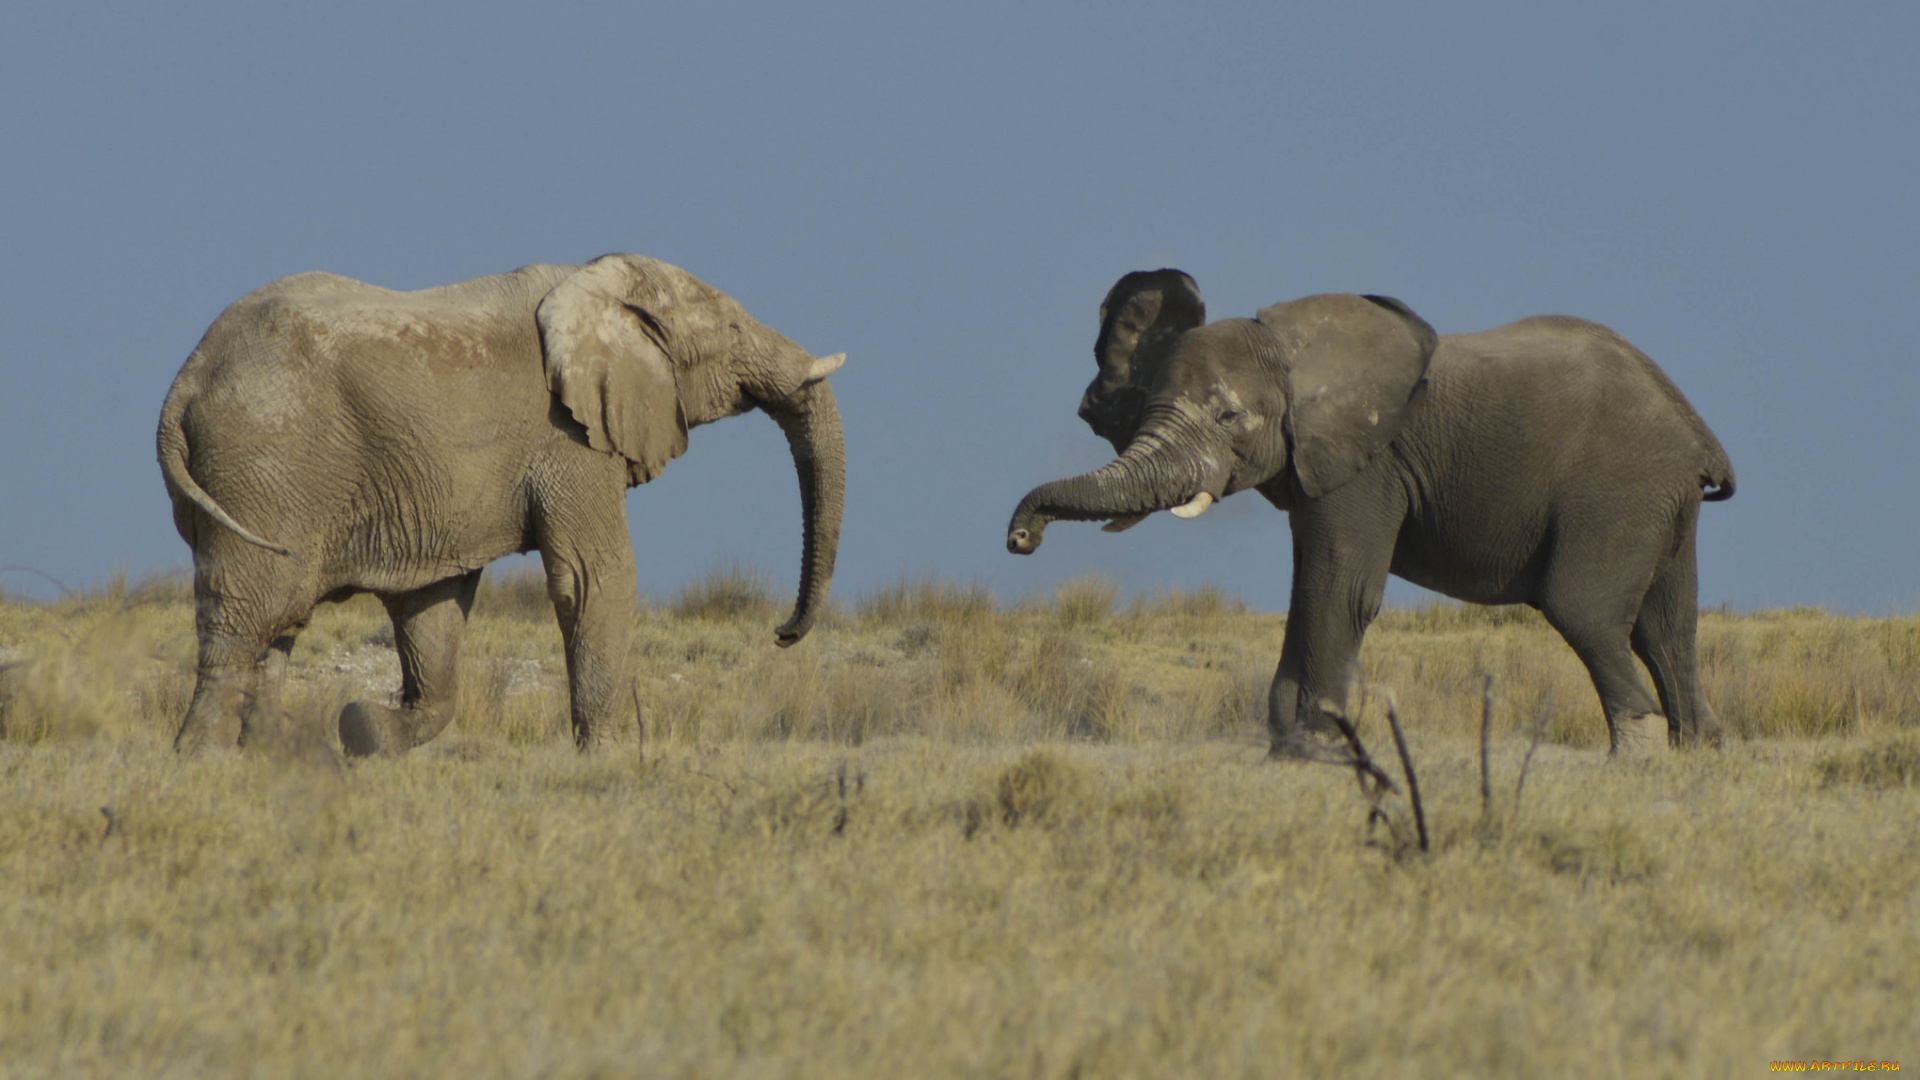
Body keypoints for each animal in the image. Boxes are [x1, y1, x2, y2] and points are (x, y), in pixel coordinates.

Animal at [161, 255, 852, 753]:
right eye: (733, 330)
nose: (782, 634)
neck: (599, 283)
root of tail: (186, 380)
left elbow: (433, 610)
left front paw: (362, 730)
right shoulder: (569, 439)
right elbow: (594, 578)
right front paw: (606, 757)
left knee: (278, 627)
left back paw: (270, 756)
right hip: (263, 466)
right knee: (247, 617)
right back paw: (203, 760)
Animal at [1013, 269, 1735, 757]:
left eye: (1228, 417)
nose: (1022, 537)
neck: (1295, 350)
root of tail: (1698, 434)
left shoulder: (1368, 463)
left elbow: (1340, 589)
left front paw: (1317, 748)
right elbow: (1308, 588)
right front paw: (1289, 749)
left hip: (1616, 489)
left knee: (1582, 607)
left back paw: (1635, 758)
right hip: (1660, 499)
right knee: (1667, 625)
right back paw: (1695, 749)